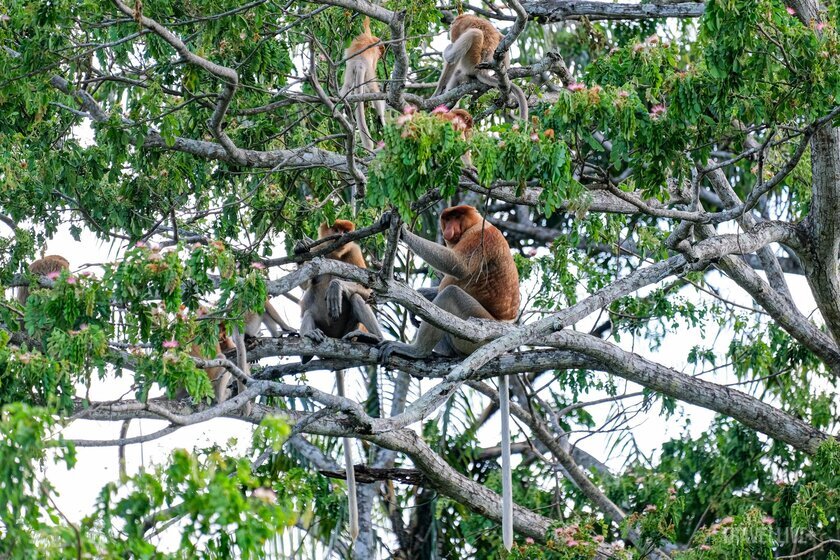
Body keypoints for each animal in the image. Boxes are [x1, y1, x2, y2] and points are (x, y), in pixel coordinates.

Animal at [298, 220, 384, 544]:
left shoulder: (355, 252)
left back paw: (371, 339)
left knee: (357, 298)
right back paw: (308, 344)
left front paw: (336, 287)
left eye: (346, 234)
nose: (339, 239)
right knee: (308, 302)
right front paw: (301, 246)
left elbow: (367, 288)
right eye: (334, 232)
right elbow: (305, 281)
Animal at [338, 18, 388, 152]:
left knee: (347, 85)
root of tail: (360, 63)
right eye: (380, 53)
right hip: (368, 71)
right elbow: (367, 25)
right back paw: (382, 118)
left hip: (350, 69)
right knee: (374, 90)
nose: (381, 56)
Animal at [378, 205, 520, 548]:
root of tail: (503, 334)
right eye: (446, 219)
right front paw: (421, 293)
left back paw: (415, 351)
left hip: (475, 329)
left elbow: (457, 266)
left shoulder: (479, 236)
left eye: (456, 218)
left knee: (451, 293)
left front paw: (400, 228)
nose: (448, 229)